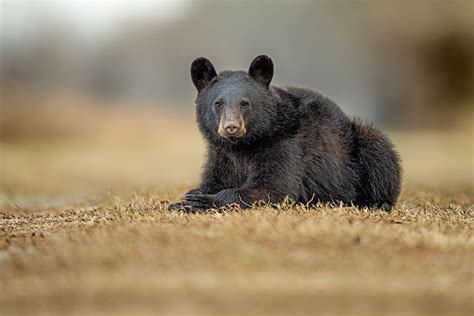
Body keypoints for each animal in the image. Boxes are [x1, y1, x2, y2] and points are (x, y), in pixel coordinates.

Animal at [168, 55, 402, 212]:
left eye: (245, 103)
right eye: (218, 103)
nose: (231, 127)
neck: (242, 146)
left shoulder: (283, 144)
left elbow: (274, 187)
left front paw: (200, 201)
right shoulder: (221, 154)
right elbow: (214, 179)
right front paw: (186, 199)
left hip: (359, 146)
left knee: (380, 158)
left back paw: (375, 202)